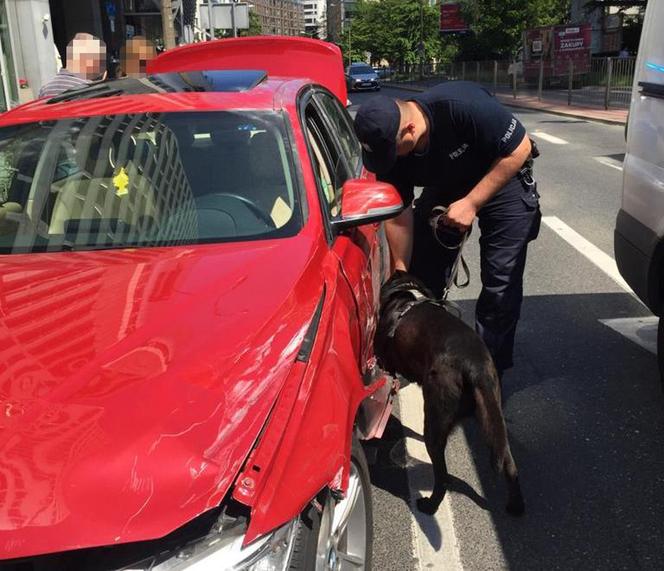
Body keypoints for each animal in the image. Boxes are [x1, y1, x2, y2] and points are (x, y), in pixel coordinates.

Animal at [374, 270, 524, 516]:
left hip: (436, 419)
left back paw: (429, 504)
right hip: (491, 415)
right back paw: (516, 505)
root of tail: (475, 366)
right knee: (509, 462)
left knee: (442, 476)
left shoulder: (385, 362)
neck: (406, 294)